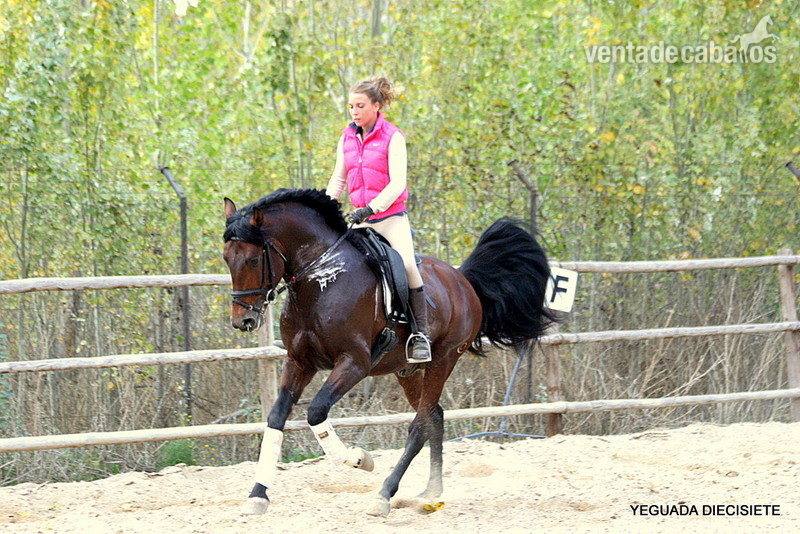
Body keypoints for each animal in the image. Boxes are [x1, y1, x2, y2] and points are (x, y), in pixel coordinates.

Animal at [222, 188, 555, 517]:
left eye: (253, 260)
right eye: (227, 258)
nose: (243, 321)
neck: (321, 278)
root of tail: (463, 280)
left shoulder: (354, 363)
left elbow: (316, 412)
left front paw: (360, 459)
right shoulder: (299, 362)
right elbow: (276, 418)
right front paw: (258, 495)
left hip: (444, 360)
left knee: (420, 425)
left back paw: (384, 494)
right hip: (406, 371)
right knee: (434, 416)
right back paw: (432, 492)